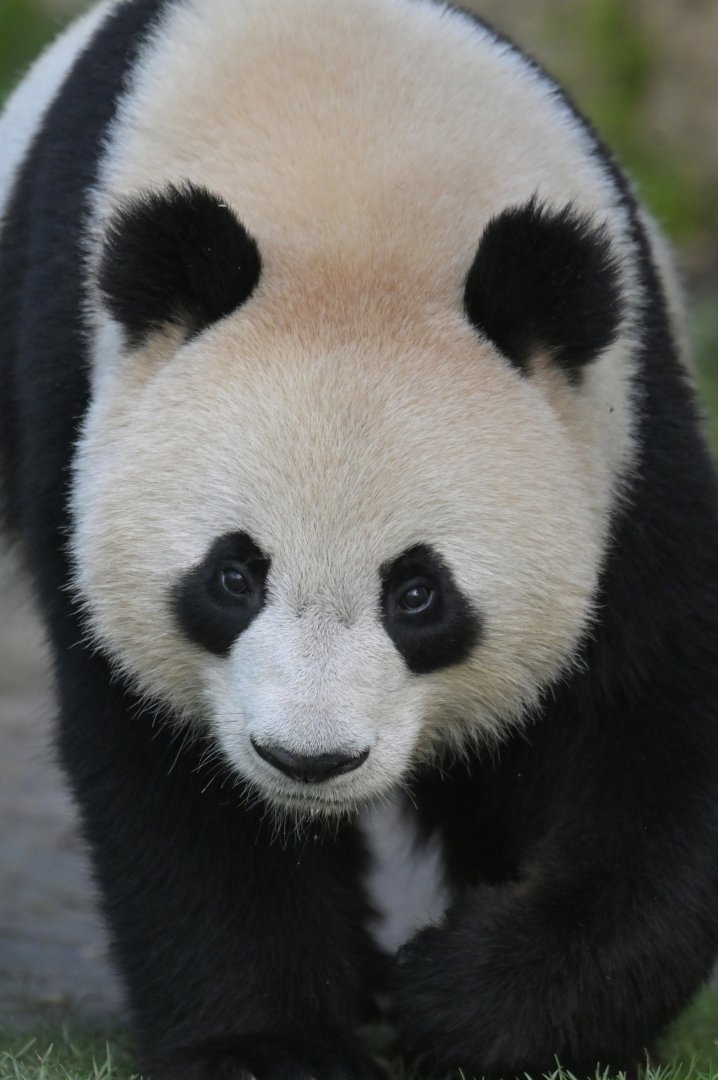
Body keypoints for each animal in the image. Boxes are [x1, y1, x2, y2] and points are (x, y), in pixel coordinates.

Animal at [2, 0, 718, 1076]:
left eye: (418, 593)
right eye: (234, 576)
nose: (308, 760)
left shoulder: (622, 433)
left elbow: (650, 726)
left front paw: (478, 1001)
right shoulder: (78, 415)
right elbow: (164, 776)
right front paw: (268, 1043)